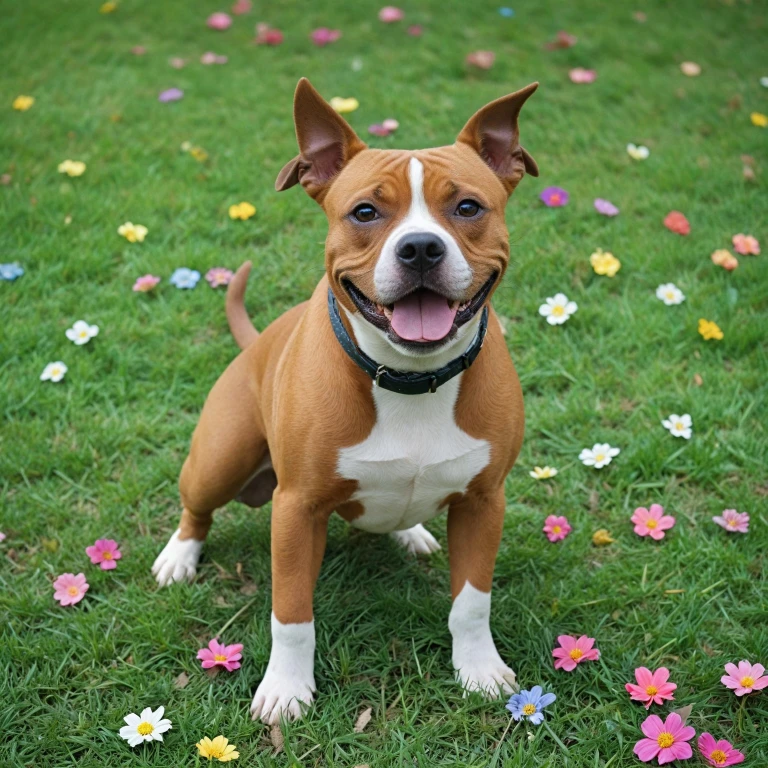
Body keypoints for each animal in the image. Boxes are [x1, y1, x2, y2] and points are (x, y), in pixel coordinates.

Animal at [150, 78, 536, 728]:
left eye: (467, 208)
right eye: (364, 212)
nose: (421, 248)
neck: (410, 379)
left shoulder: (484, 503)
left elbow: (472, 604)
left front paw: (479, 670)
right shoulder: (296, 510)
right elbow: (291, 615)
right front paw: (286, 689)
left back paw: (411, 532)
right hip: (220, 459)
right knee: (196, 507)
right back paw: (180, 555)